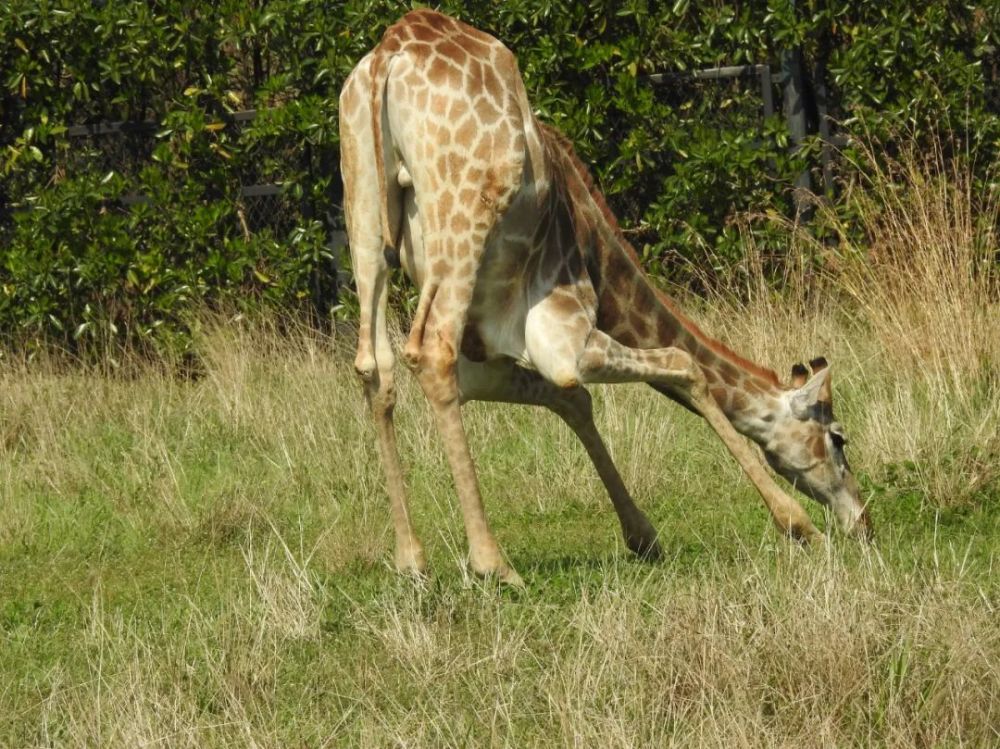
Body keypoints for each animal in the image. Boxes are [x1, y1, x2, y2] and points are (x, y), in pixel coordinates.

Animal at [340, 10, 872, 584]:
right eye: (838, 438)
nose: (862, 521)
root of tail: (389, 55)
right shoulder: (563, 340)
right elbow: (683, 365)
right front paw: (798, 525)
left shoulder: (486, 361)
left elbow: (574, 400)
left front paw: (643, 537)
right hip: (461, 217)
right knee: (428, 350)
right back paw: (493, 563)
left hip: (362, 210)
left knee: (375, 366)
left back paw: (410, 560)